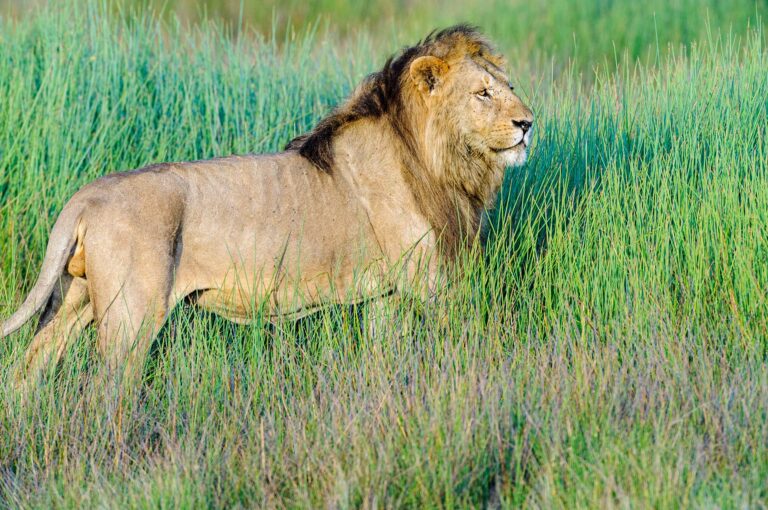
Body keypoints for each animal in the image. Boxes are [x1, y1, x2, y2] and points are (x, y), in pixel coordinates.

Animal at [3, 24, 536, 390]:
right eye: (483, 93)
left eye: (509, 88)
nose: (528, 123)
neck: (441, 161)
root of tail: (85, 197)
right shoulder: (428, 286)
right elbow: (459, 344)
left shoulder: (386, 294)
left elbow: (386, 356)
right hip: (130, 317)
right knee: (107, 390)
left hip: (73, 300)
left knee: (29, 368)